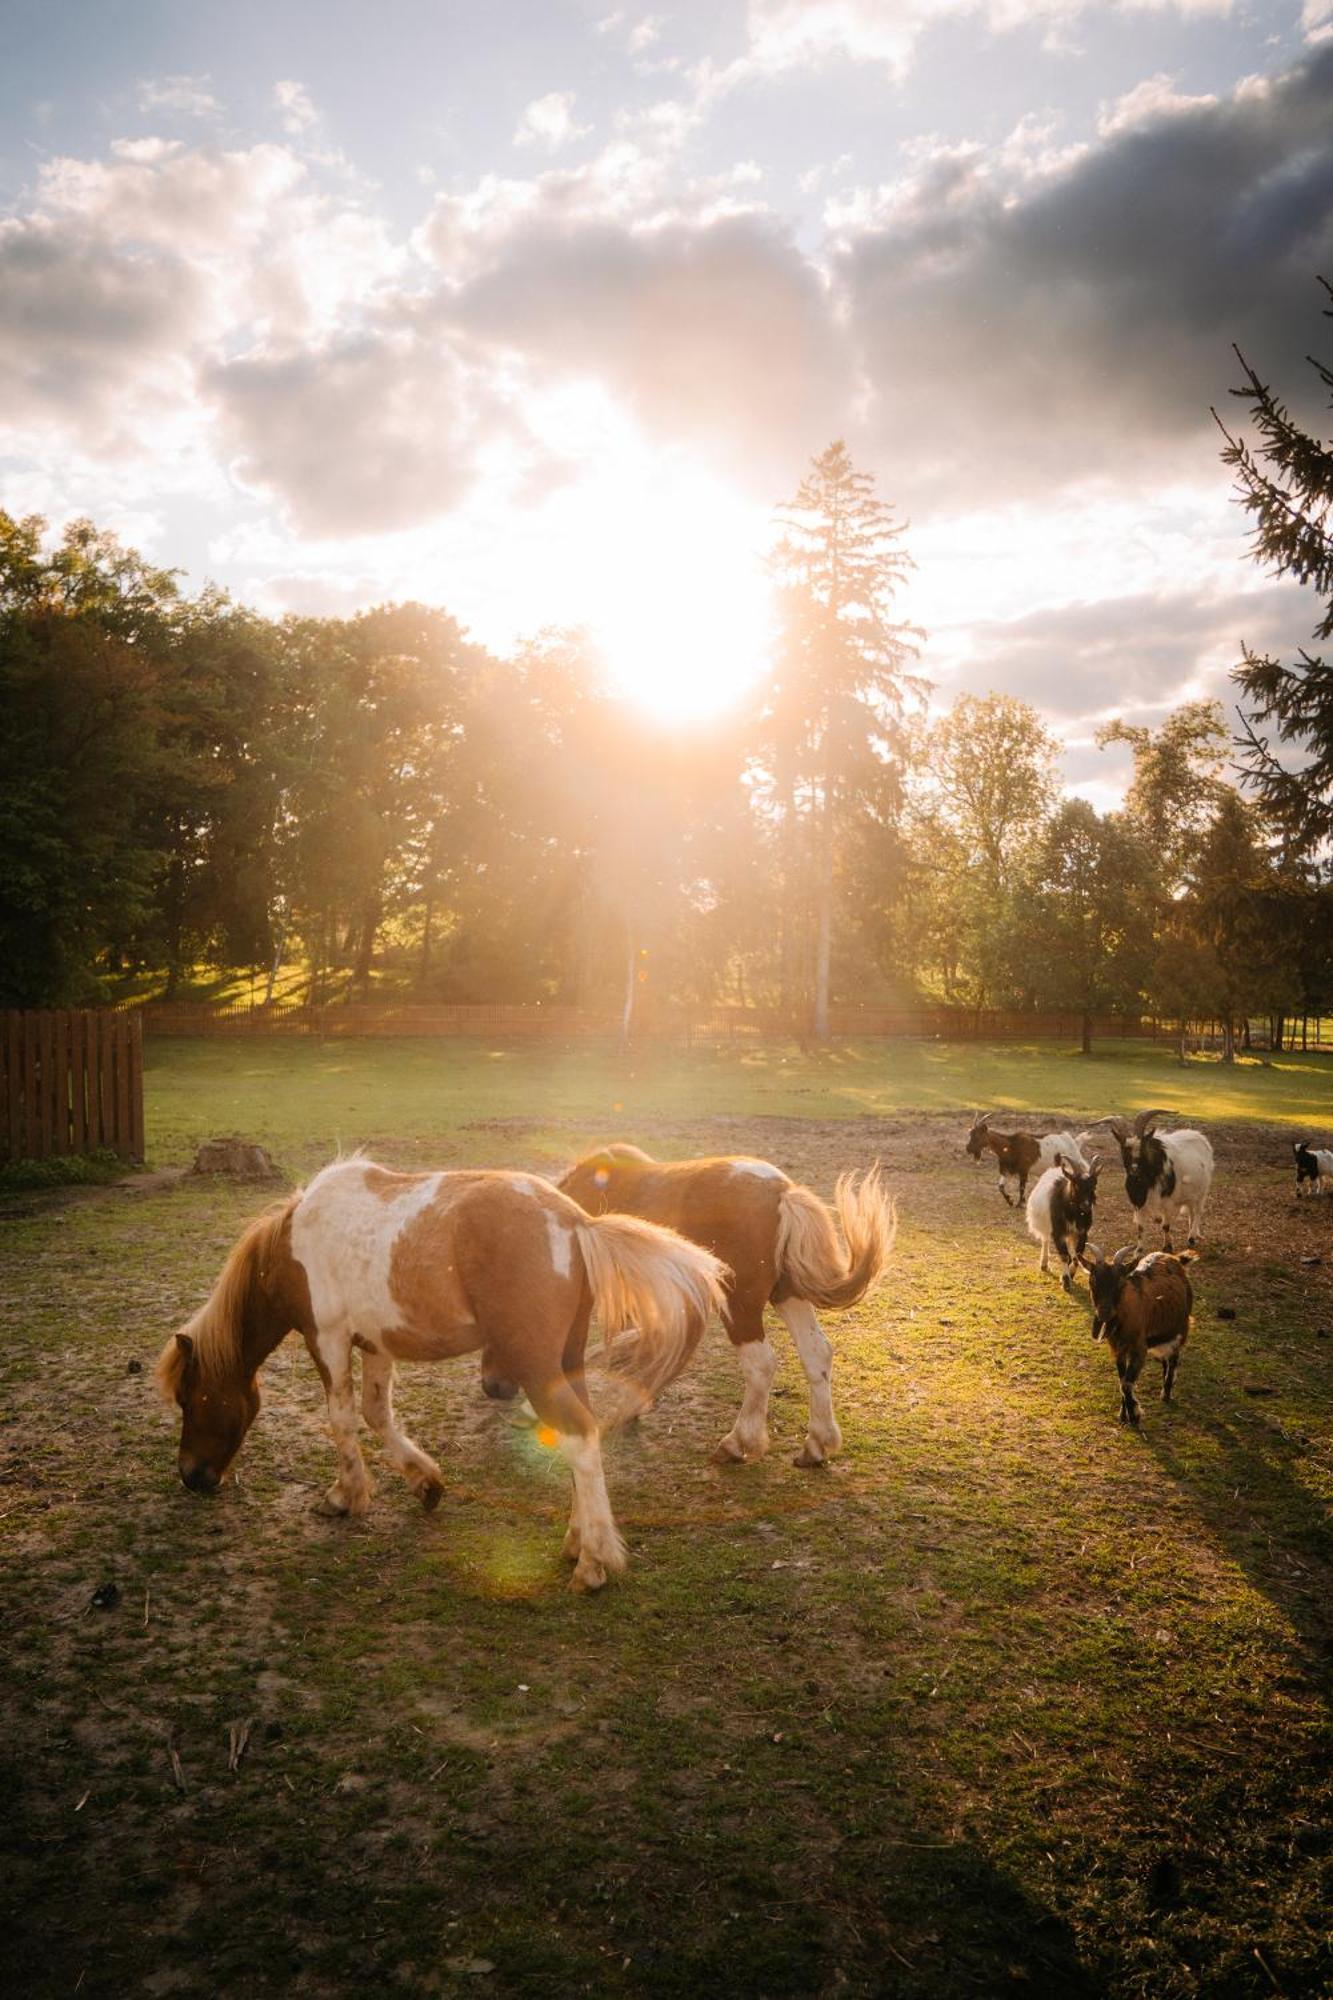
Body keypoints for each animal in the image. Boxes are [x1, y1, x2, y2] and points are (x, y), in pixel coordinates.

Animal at [156, 1160, 728, 1592]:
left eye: (190, 1398)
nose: (191, 1476)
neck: (294, 1243)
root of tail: (578, 1223)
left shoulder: (329, 1339)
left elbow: (342, 1419)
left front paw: (346, 1495)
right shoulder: (374, 1343)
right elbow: (376, 1413)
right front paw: (425, 1482)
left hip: (537, 1367)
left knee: (580, 1437)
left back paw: (593, 1565)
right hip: (565, 1365)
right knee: (579, 1438)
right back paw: (577, 1540)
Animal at [544, 1144, 896, 1472]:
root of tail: (781, 1192)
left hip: (740, 1306)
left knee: (761, 1364)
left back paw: (738, 1443)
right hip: (788, 1295)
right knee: (816, 1353)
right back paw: (817, 1445)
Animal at [1020, 1160, 1096, 1296]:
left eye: (1094, 1185)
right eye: (1076, 1184)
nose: (1086, 1206)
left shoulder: (1082, 1233)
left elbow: (1077, 1256)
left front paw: (1070, 1275)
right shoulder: (1058, 1232)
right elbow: (1064, 1256)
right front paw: (1066, 1282)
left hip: (1071, 1234)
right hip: (1046, 1225)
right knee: (1045, 1240)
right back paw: (1044, 1264)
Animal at [1072, 1240, 1184, 1432]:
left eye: (1120, 1283)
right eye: (1092, 1281)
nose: (1104, 1312)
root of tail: (1172, 1257)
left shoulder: (1139, 1349)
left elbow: (1126, 1383)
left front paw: (1134, 1415)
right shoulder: (1118, 1349)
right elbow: (1121, 1380)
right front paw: (1123, 1414)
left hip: (1181, 1328)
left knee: (1174, 1358)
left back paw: (1167, 1392)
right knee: (1166, 1358)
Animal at [1088, 1112, 1216, 1248]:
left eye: (1143, 1149)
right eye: (1124, 1150)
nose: (1134, 1170)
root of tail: (1200, 1136)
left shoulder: (1168, 1201)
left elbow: (1165, 1225)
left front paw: (1168, 1247)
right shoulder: (1138, 1201)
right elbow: (1141, 1227)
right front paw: (1138, 1250)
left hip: (1203, 1191)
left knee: (1198, 1211)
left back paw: (1191, 1237)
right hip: (1190, 1193)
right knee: (1191, 1211)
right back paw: (1193, 1235)